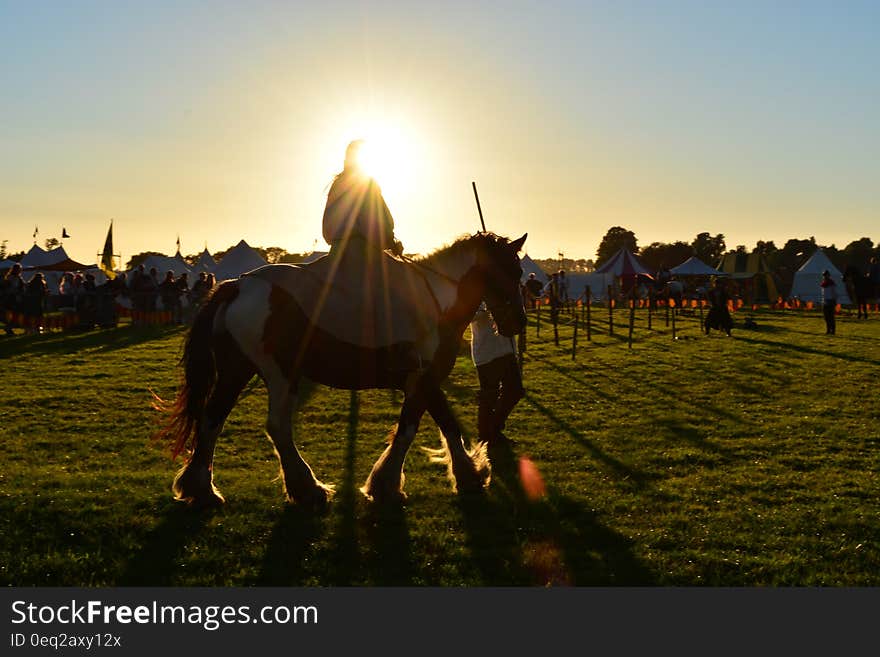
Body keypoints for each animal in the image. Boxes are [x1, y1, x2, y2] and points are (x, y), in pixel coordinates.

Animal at [152, 231, 524, 508]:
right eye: (512, 272)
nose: (517, 322)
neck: (436, 300)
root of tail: (237, 285)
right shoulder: (423, 378)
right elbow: (414, 429)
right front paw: (389, 484)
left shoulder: (424, 382)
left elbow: (443, 425)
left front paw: (466, 474)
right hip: (279, 373)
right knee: (276, 426)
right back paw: (306, 488)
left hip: (237, 371)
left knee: (212, 419)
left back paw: (201, 489)